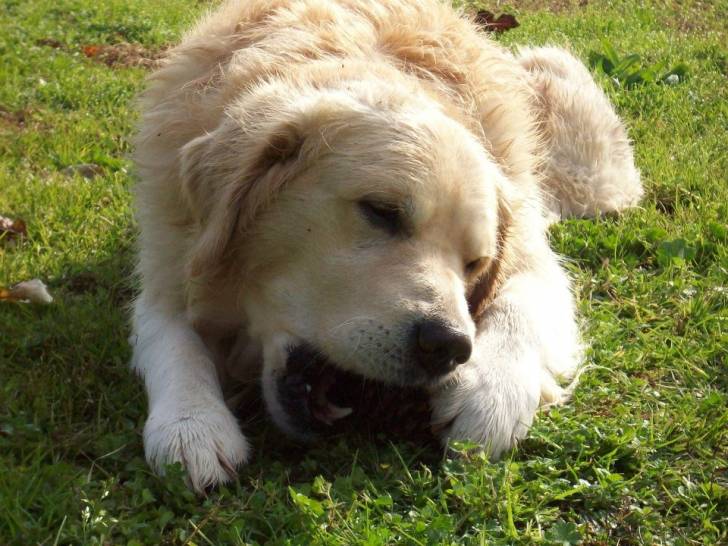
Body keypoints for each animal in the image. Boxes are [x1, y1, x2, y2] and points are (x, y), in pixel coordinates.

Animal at [130, 0, 642, 492]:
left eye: (475, 263)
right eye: (381, 211)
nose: (449, 346)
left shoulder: (531, 252)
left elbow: (524, 300)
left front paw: (490, 393)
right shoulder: (169, 253)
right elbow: (170, 338)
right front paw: (191, 423)